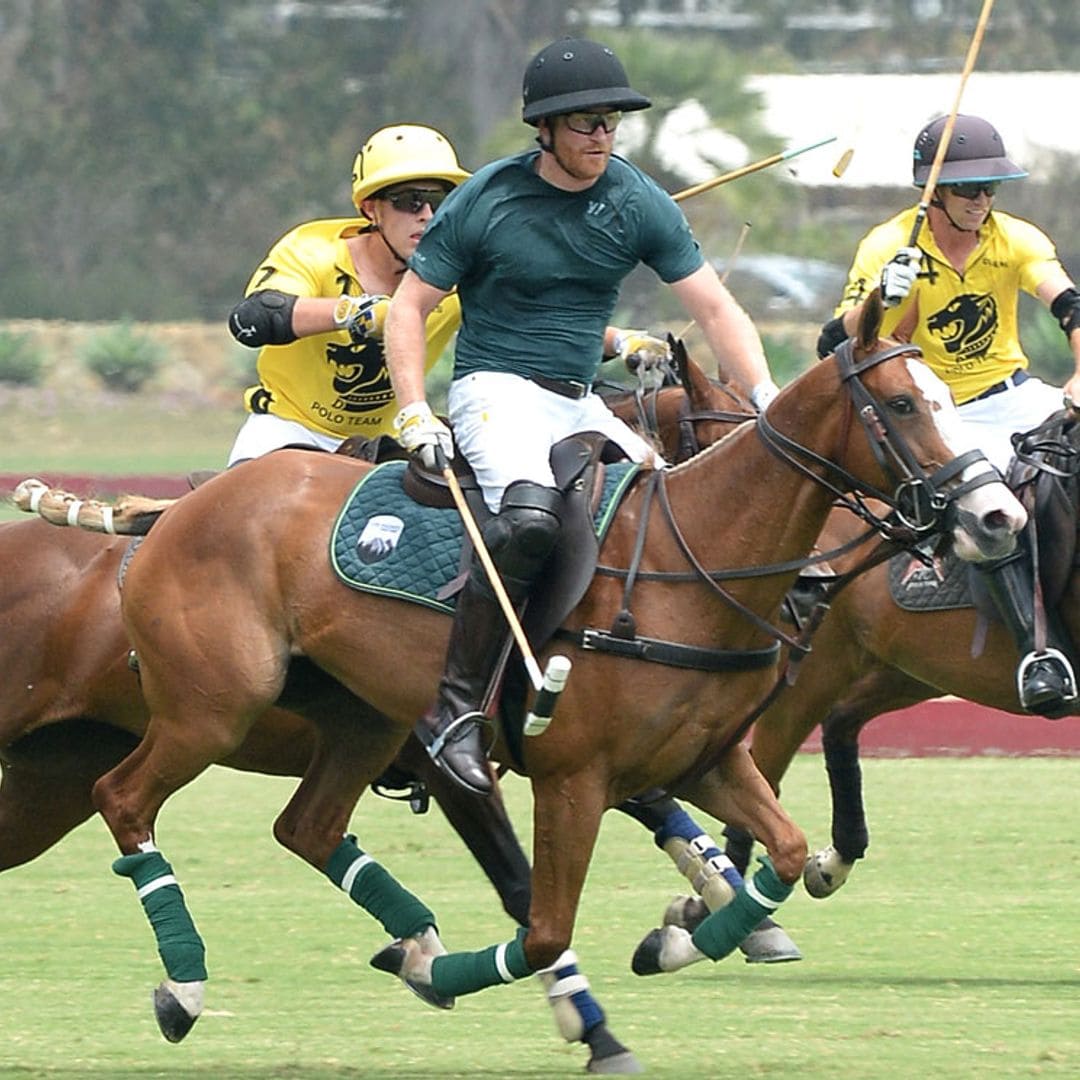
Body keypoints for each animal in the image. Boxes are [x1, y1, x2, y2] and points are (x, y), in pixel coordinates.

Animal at [82, 298, 1019, 1045]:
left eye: (946, 399)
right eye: (902, 403)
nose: (998, 515)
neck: (685, 558)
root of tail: (171, 513)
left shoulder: (705, 760)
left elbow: (784, 854)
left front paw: (677, 939)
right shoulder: (566, 778)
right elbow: (540, 924)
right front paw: (576, 1012)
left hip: (362, 720)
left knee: (306, 827)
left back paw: (407, 940)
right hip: (214, 709)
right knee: (123, 798)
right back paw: (185, 985)